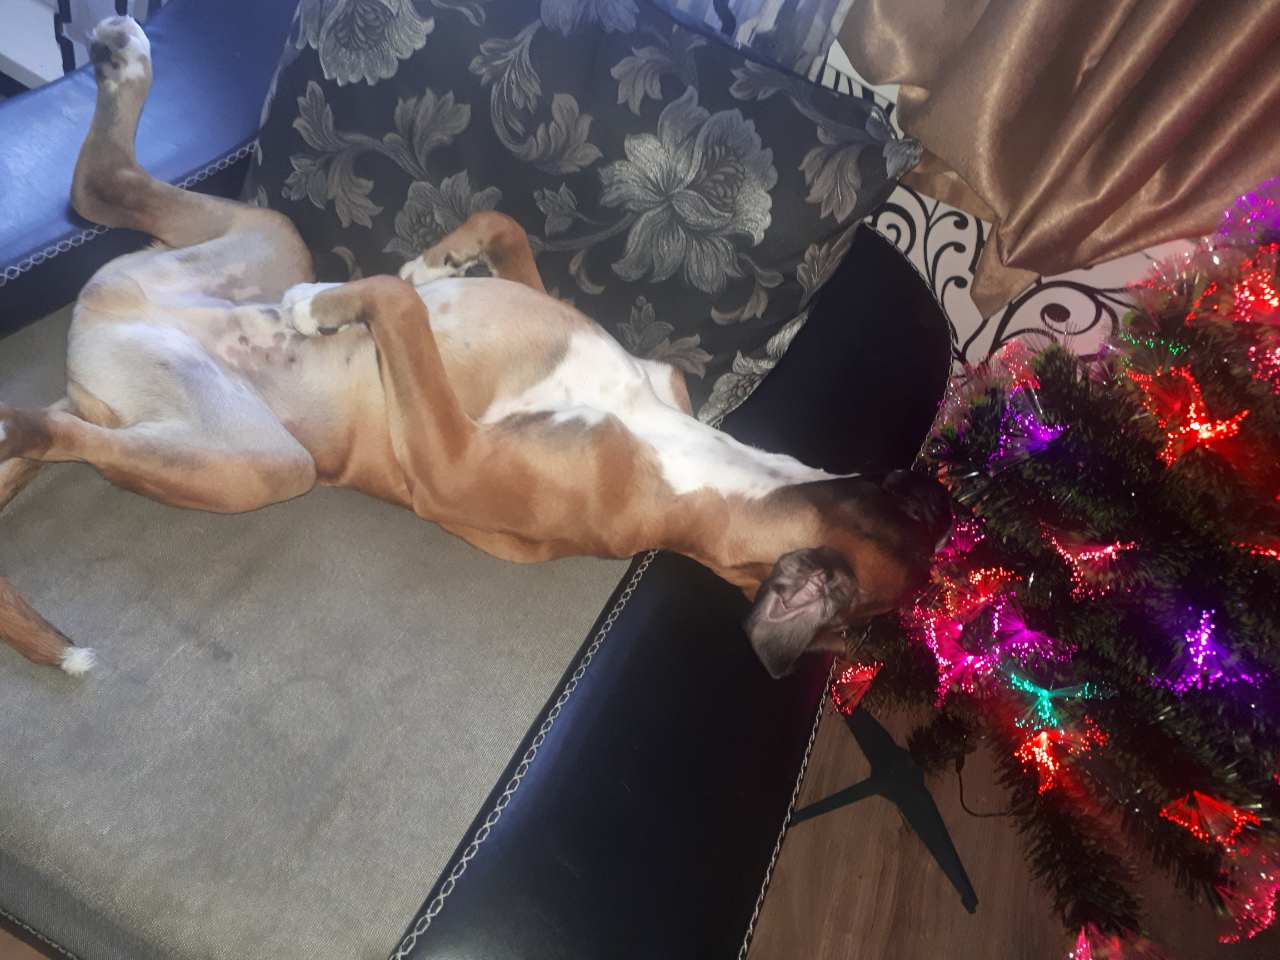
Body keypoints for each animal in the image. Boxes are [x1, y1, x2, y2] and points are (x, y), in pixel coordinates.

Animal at [0, 16, 950, 681]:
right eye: (914, 505)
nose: (944, 496)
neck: (708, 468)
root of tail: (95, 342)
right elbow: (501, 228)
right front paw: (437, 260)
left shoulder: (450, 457)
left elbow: (394, 307)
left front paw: (335, 308)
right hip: (267, 239)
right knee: (102, 187)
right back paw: (123, 57)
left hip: (260, 461)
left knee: (70, 427)